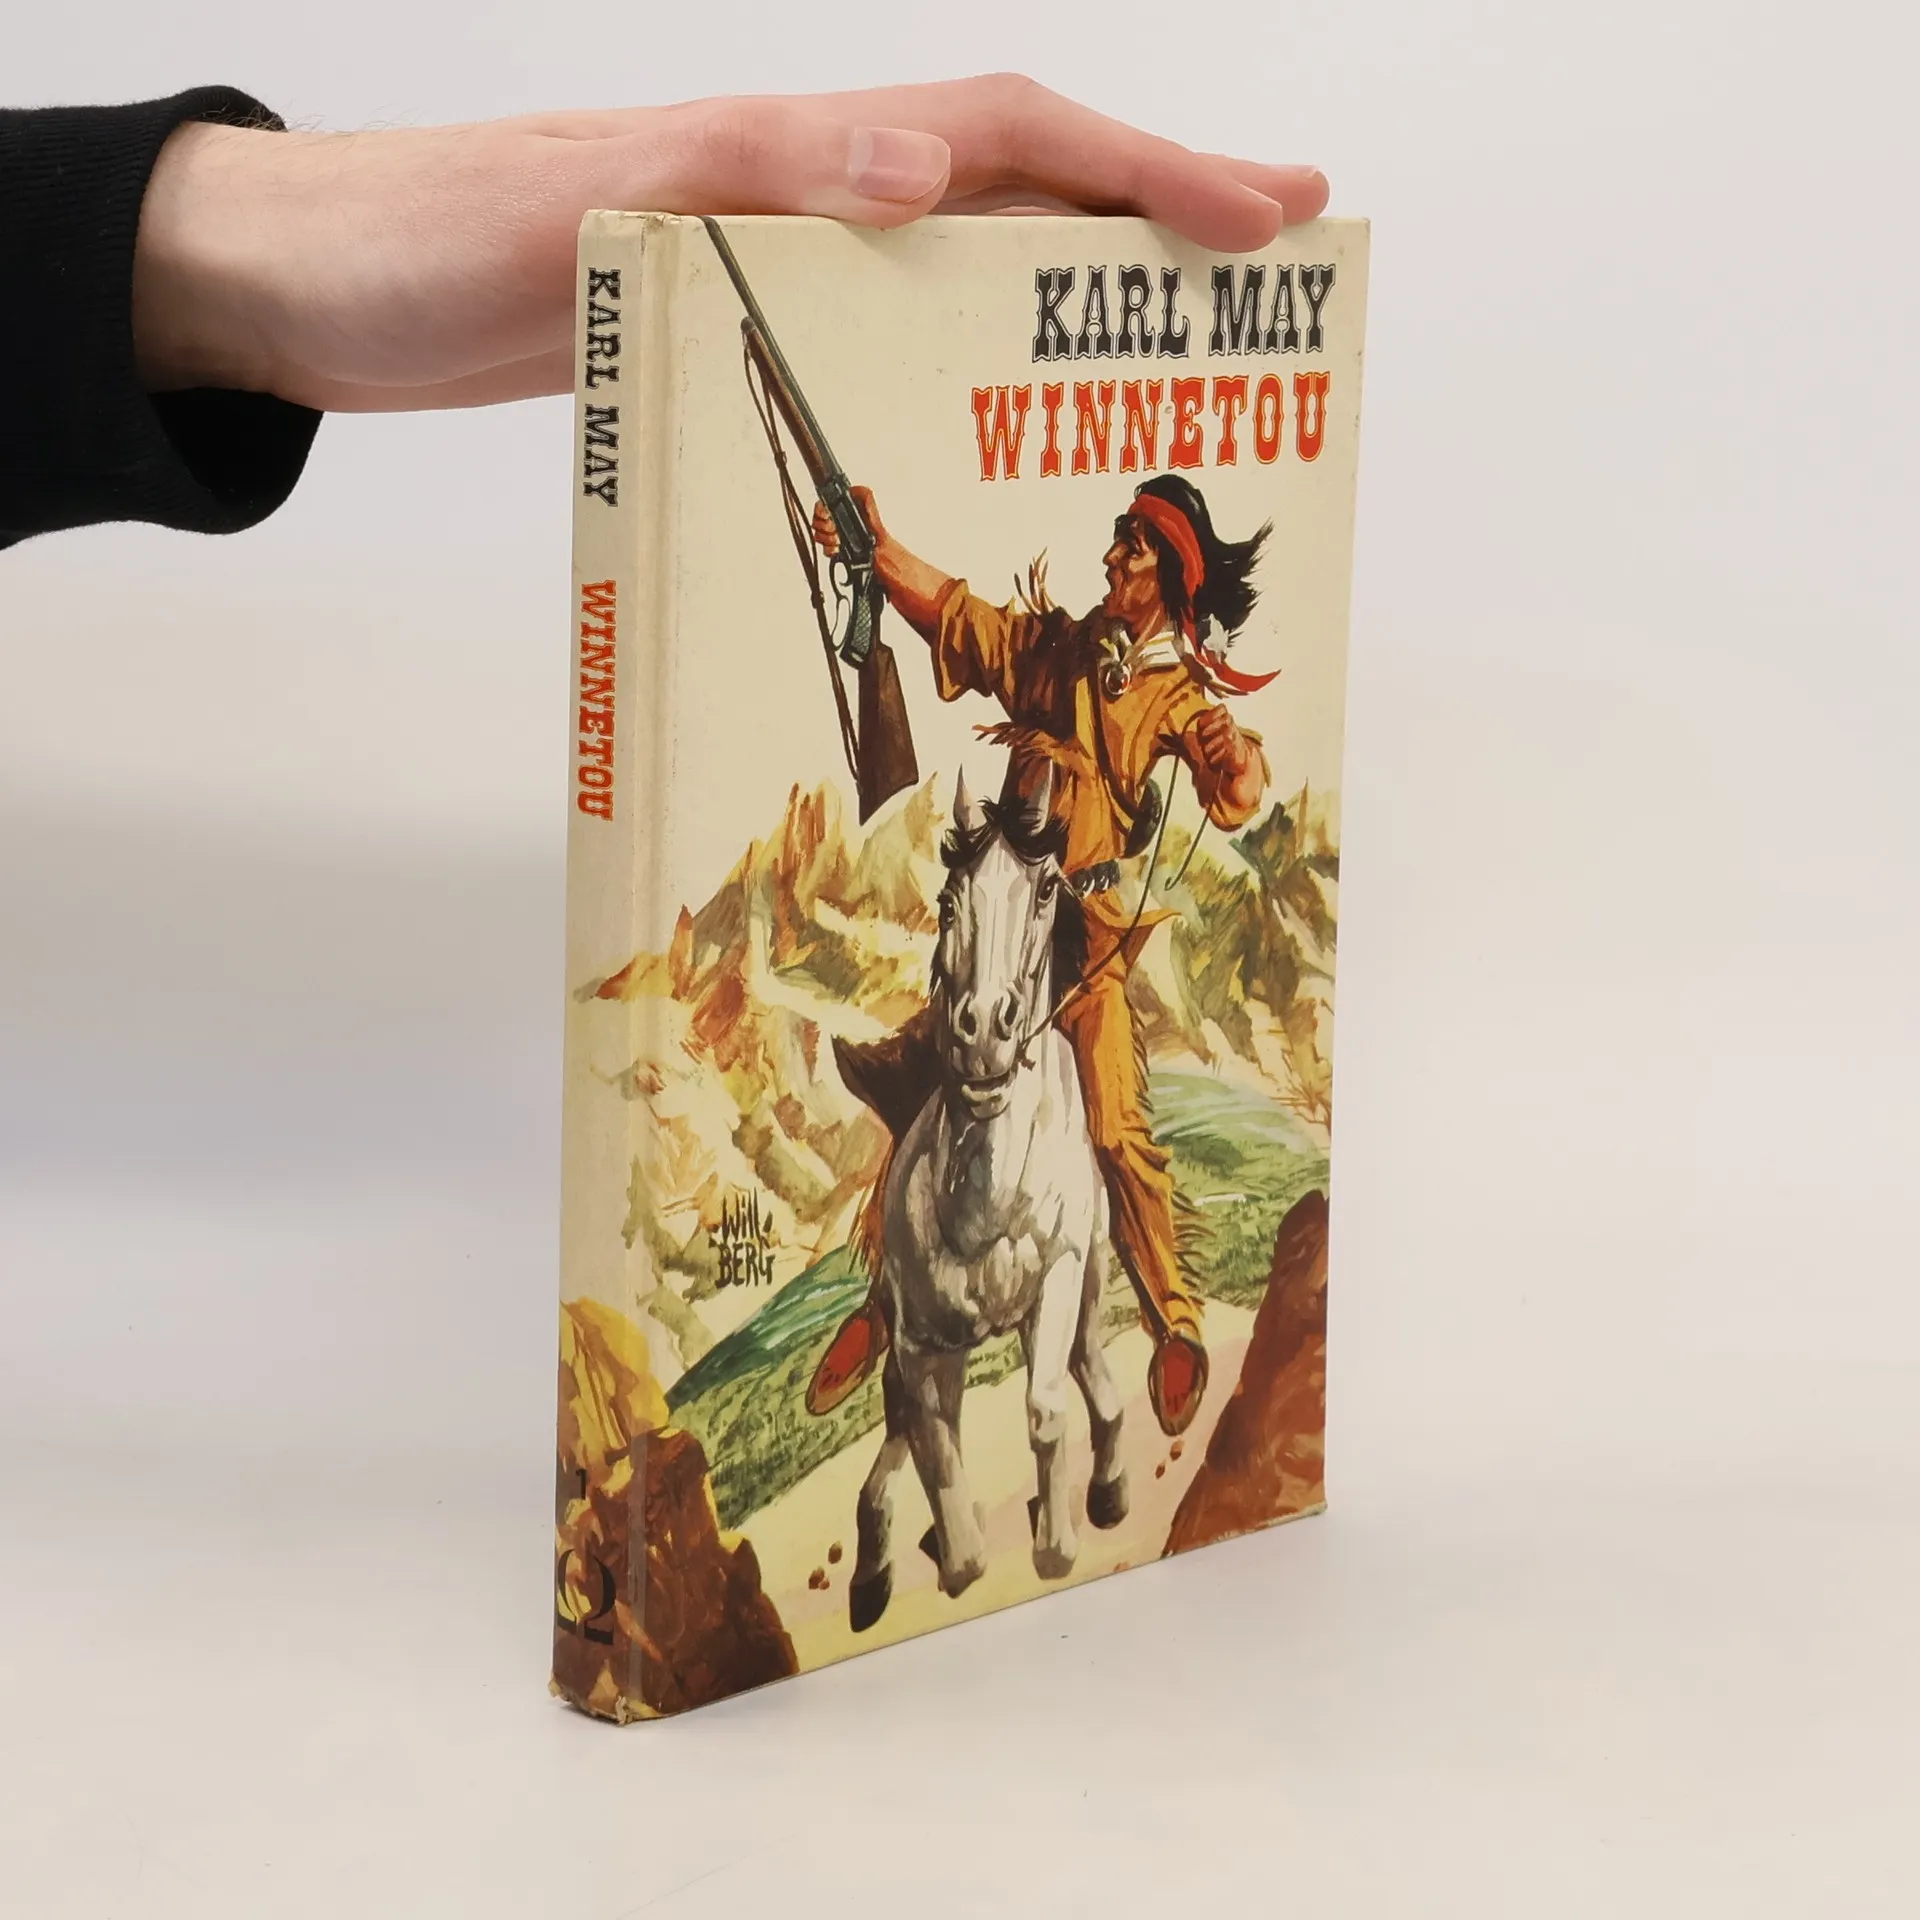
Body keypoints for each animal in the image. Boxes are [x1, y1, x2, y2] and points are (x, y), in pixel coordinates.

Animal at [848, 764, 1129, 1632]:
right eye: (948, 900)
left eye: (1045, 890)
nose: (983, 1035)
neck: (985, 1209)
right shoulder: (918, 1345)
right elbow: (940, 1473)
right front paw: (931, 1555)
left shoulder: (1060, 1279)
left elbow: (1045, 1410)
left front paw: (1059, 1542)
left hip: (1091, 1278)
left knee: (1094, 1373)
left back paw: (1108, 1487)